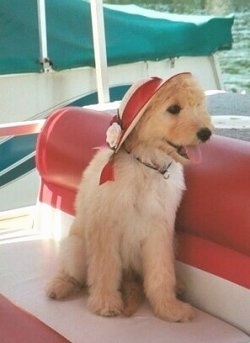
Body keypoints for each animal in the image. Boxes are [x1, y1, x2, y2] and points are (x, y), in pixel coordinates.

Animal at [46, 72, 212, 322]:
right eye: (173, 109)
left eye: (199, 105)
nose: (206, 133)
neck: (146, 165)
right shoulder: (106, 227)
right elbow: (104, 268)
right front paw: (105, 303)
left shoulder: (161, 230)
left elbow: (161, 272)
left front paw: (169, 307)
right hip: (75, 246)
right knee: (73, 273)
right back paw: (60, 285)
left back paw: (179, 286)